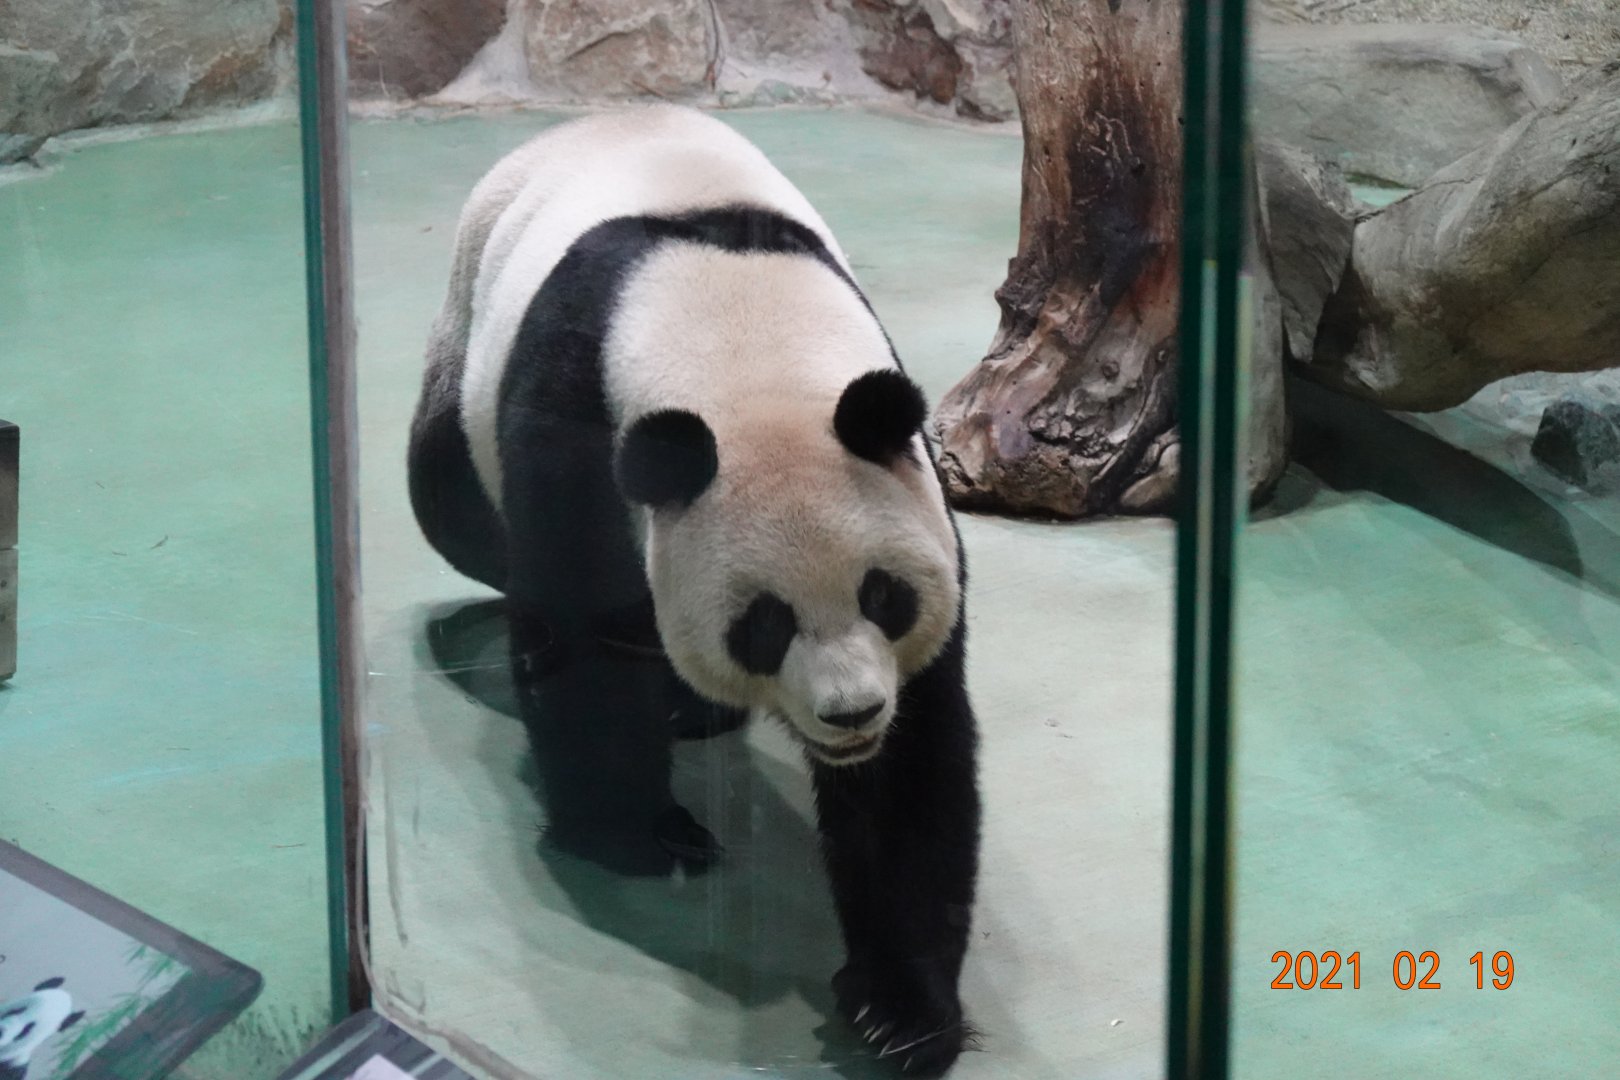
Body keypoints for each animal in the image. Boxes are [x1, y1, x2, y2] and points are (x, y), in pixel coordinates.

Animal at [407, 105, 981, 1076]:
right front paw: (646, 839)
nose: (851, 714)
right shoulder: (576, 421)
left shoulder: (906, 485)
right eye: (764, 624)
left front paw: (901, 1008)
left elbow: (916, 756)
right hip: (464, 329)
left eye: (884, 598)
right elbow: (584, 637)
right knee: (450, 497)